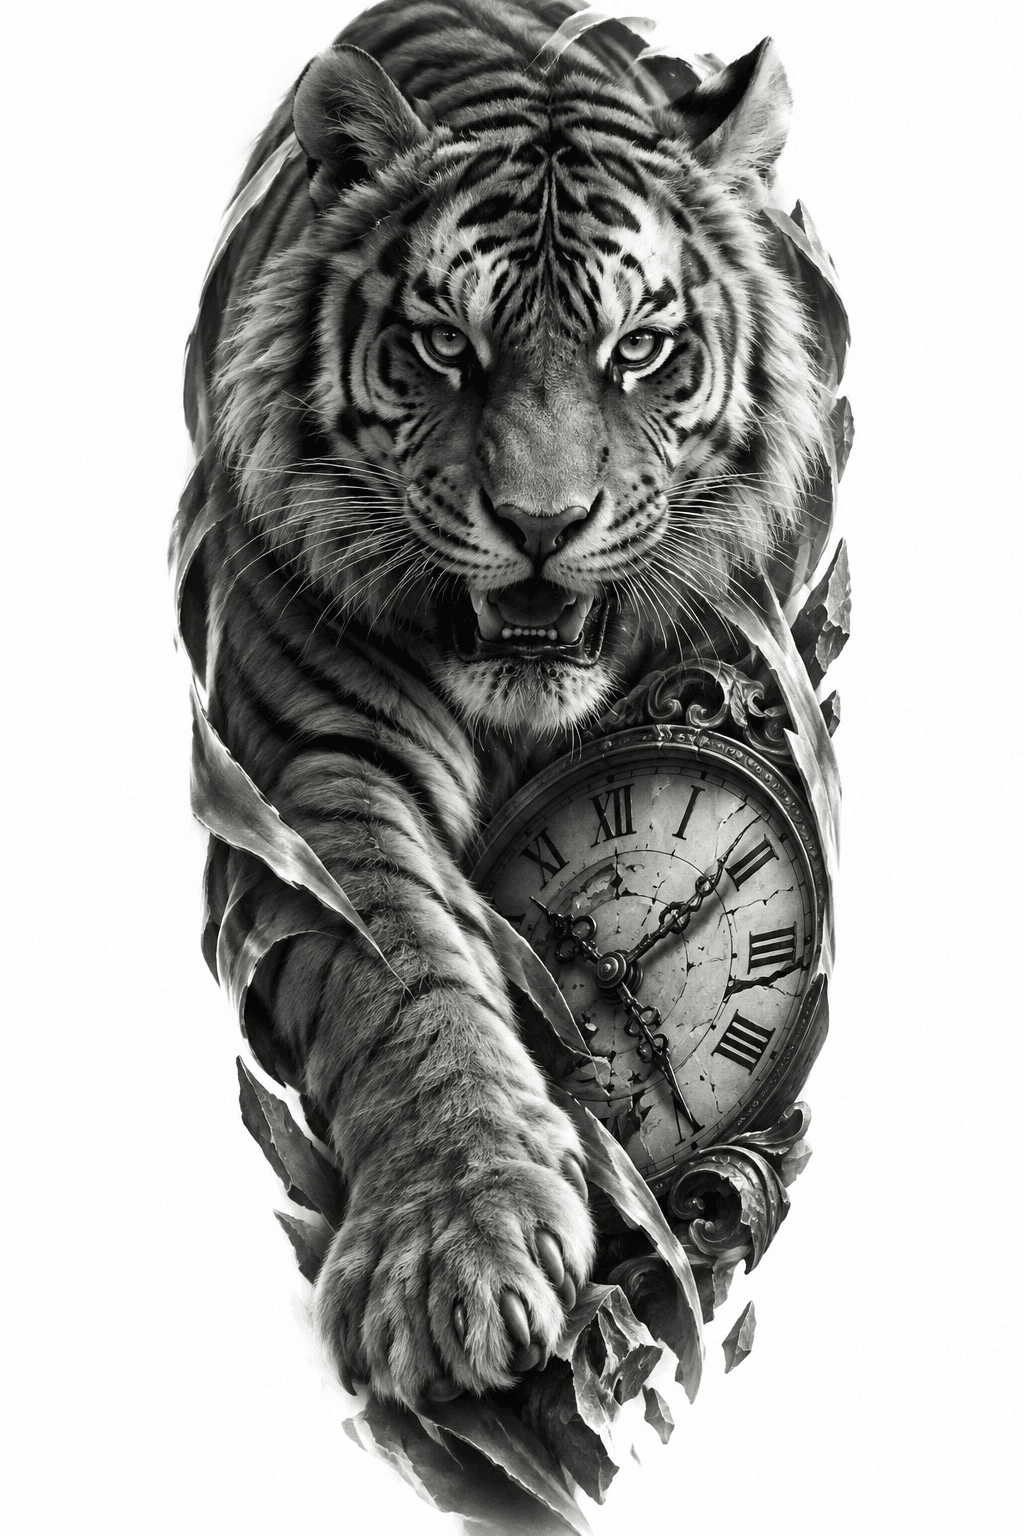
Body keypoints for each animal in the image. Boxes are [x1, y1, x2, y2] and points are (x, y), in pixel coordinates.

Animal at [182, 0, 827, 1410]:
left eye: (638, 350)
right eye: (444, 346)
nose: (541, 526)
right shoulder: (321, 764)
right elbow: (402, 970)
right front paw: (455, 1248)